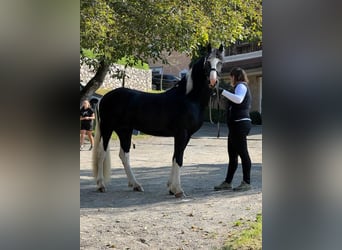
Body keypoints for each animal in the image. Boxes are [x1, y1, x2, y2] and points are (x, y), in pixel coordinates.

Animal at [92, 44, 224, 197]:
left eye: (220, 62)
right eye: (207, 63)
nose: (213, 82)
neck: (188, 98)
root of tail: (103, 98)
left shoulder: (186, 136)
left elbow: (175, 157)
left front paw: (171, 188)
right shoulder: (182, 134)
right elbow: (179, 158)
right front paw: (178, 190)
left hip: (124, 131)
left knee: (124, 155)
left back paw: (136, 185)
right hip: (107, 128)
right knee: (102, 153)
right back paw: (101, 185)